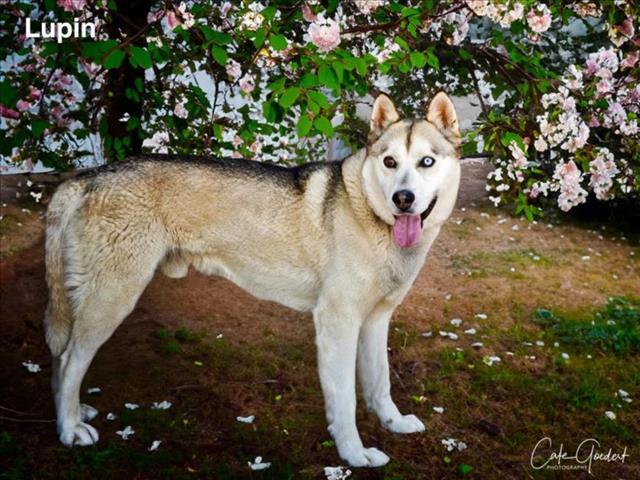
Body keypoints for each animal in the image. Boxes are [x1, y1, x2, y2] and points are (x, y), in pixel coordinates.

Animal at [46, 93, 460, 464]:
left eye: (426, 162)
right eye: (390, 162)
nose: (403, 198)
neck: (371, 214)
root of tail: (89, 177)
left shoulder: (376, 321)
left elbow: (379, 384)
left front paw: (393, 423)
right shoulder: (337, 324)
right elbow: (345, 400)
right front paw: (354, 454)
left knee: (63, 363)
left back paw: (72, 411)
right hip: (112, 300)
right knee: (68, 361)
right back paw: (69, 429)